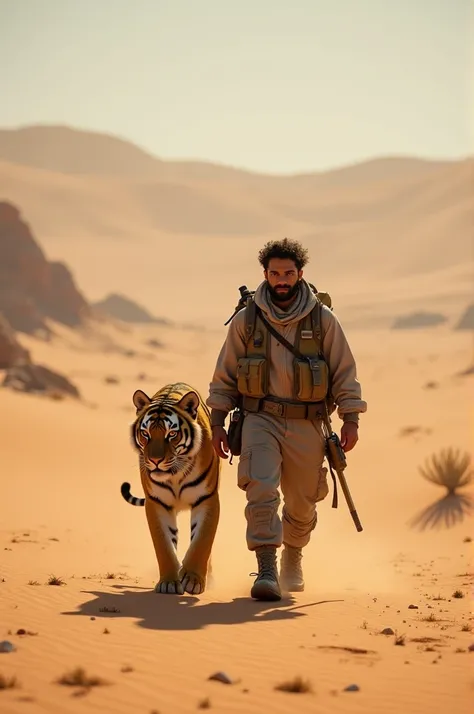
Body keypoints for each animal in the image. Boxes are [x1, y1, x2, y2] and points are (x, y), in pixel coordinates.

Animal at [120, 382, 220, 592]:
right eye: (145, 434)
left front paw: (192, 580)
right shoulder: (157, 503)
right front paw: (169, 583)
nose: (155, 461)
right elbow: (164, 546)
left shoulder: (207, 499)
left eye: (172, 434)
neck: (176, 476)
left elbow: (202, 542)